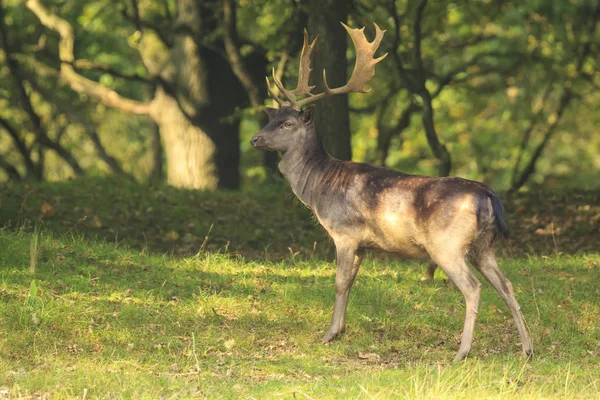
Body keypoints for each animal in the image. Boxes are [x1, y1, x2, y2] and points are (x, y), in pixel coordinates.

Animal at [251, 22, 532, 362]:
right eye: (272, 119)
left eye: (288, 124)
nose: (254, 139)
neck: (320, 184)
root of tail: (487, 195)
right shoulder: (363, 244)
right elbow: (351, 283)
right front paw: (340, 330)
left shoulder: (344, 232)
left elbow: (340, 282)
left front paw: (328, 334)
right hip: (484, 245)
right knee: (507, 285)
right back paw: (527, 348)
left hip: (447, 245)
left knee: (473, 287)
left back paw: (461, 352)